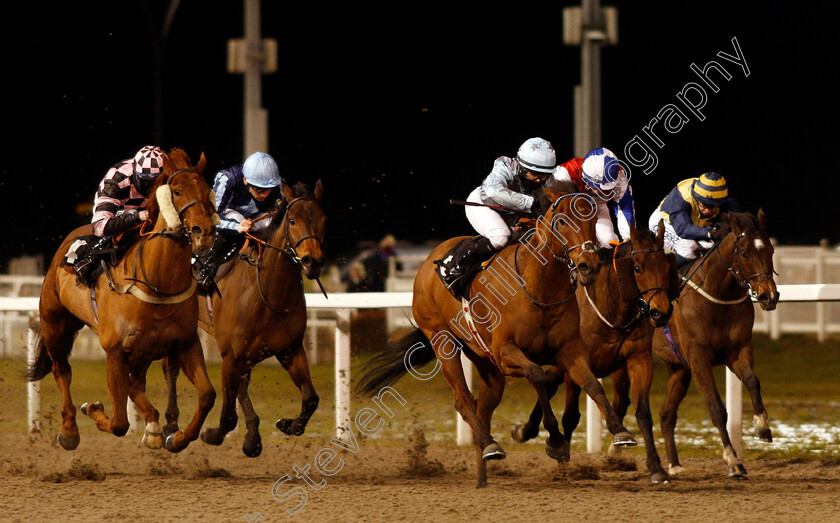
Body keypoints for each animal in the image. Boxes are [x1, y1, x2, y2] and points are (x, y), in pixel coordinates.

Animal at [28, 149, 220, 452]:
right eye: (177, 191)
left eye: (205, 189)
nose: (204, 230)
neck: (157, 285)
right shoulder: (115, 351)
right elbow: (118, 423)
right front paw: (93, 408)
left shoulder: (185, 343)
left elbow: (208, 395)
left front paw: (176, 437)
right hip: (55, 325)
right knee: (62, 372)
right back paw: (69, 430)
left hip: (143, 351)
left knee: (135, 382)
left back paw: (152, 426)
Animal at [162, 181, 326, 458]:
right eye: (293, 220)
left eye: (324, 220)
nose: (312, 261)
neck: (268, 292)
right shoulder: (231, 354)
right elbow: (228, 415)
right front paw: (211, 434)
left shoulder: (289, 349)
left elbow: (310, 399)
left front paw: (286, 424)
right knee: (170, 368)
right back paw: (170, 425)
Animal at [358, 182, 640, 490]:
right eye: (563, 221)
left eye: (593, 221)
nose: (589, 266)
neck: (538, 286)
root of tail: (426, 265)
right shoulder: (506, 353)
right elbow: (538, 376)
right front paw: (554, 441)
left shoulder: (569, 349)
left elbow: (591, 384)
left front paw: (620, 431)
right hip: (442, 340)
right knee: (463, 399)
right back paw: (490, 444)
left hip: (484, 360)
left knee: (483, 408)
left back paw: (484, 469)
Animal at [508, 220, 680, 484]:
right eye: (637, 268)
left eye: (666, 267)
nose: (660, 312)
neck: (612, 307)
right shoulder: (573, 363)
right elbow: (570, 415)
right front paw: (562, 459)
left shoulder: (639, 359)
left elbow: (643, 413)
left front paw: (656, 468)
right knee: (550, 385)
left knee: (549, 383)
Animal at [612, 209, 776, 478]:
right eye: (743, 253)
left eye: (771, 250)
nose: (768, 296)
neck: (719, 297)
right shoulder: (699, 357)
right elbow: (717, 409)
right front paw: (733, 461)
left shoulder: (737, 351)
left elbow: (753, 381)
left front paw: (762, 428)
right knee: (620, 403)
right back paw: (614, 453)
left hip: (679, 369)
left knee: (666, 414)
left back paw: (674, 464)